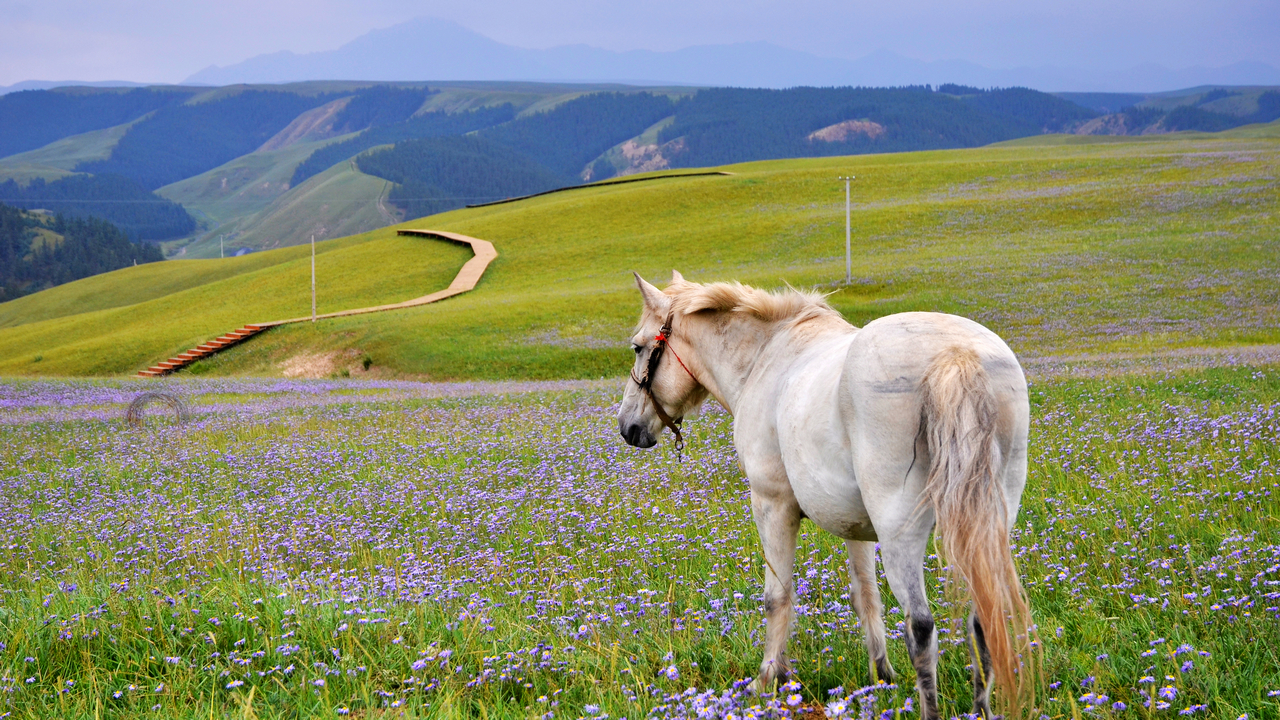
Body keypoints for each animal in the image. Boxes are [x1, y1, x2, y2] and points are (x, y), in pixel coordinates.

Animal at [616, 270, 1029, 717]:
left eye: (639, 347)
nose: (627, 428)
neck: (765, 358)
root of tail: (955, 354)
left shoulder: (772, 506)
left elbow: (776, 597)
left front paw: (767, 681)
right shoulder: (856, 527)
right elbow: (866, 595)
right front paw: (882, 676)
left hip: (901, 531)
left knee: (920, 625)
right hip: (984, 525)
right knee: (982, 618)